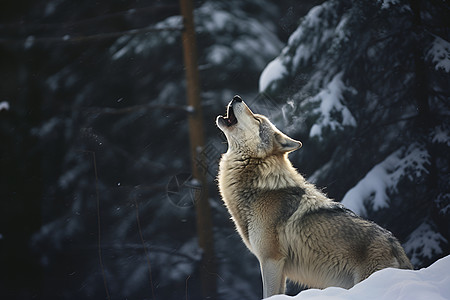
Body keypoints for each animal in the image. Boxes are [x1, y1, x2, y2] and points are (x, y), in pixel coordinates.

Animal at [216, 95, 414, 298]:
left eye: (257, 119)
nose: (237, 97)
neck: (259, 185)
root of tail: (397, 247)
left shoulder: (271, 260)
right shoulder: (279, 268)